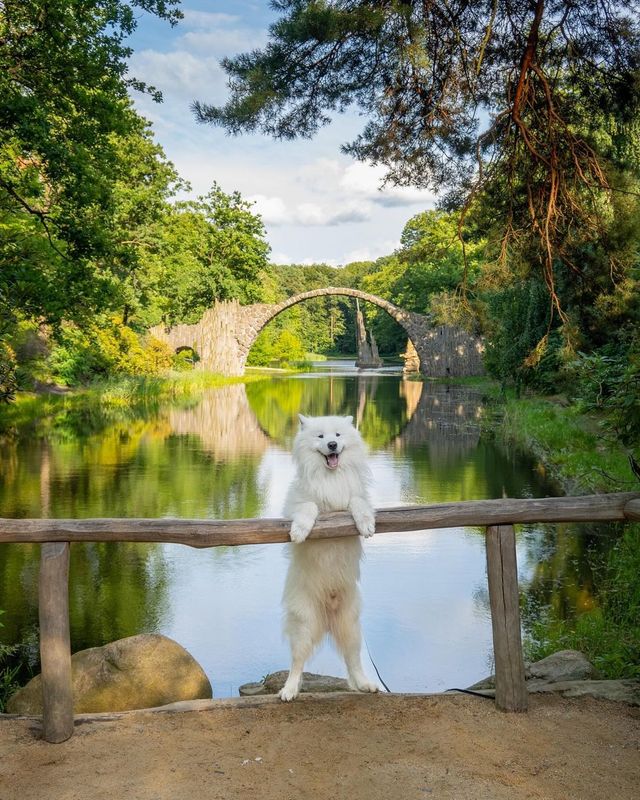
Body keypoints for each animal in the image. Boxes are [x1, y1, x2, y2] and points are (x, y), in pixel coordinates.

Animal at [280, 412, 380, 700]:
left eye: (337, 435)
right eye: (321, 437)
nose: (332, 446)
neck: (331, 477)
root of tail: (327, 614)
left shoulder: (357, 498)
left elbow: (358, 503)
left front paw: (366, 525)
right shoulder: (295, 505)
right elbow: (309, 507)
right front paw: (300, 532)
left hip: (352, 626)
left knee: (353, 660)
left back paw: (366, 685)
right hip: (303, 624)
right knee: (297, 663)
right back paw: (289, 690)